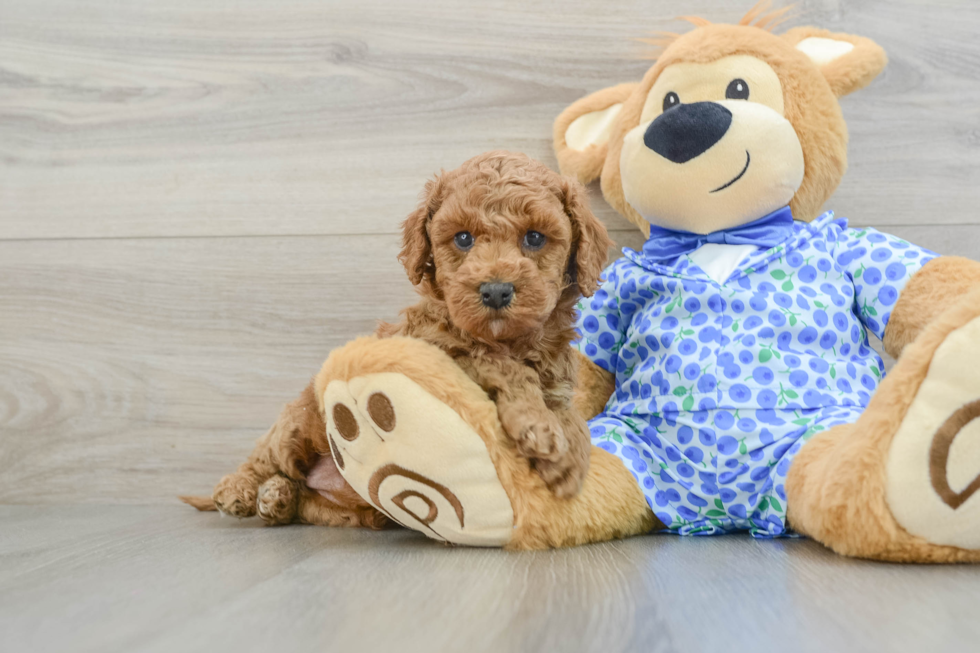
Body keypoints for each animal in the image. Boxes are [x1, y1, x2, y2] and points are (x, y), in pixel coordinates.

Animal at [182, 152, 612, 524]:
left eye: (535, 238)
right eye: (463, 239)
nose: (495, 291)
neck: (512, 340)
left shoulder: (556, 383)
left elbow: (574, 417)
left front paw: (571, 461)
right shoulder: (435, 348)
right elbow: (502, 365)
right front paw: (539, 428)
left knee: (301, 494)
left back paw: (278, 500)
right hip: (300, 422)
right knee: (266, 455)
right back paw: (238, 490)